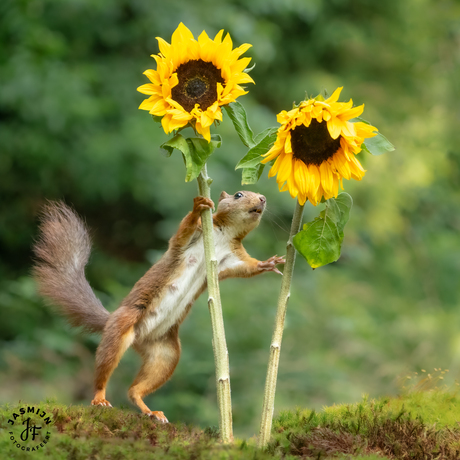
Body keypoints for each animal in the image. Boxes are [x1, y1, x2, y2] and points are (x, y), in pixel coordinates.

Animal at [33, 191, 284, 424]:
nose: (262, 198)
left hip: (165, 355)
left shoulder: (231, 259)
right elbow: (183, 230)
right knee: (104, 371)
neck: (224, 234)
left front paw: (269, 263)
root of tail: (138, 336)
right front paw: (198, 206)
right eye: (238, 194)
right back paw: (100, 398)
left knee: (135, 390)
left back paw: (151, 411)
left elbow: (248, 268)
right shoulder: (192, 237)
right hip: (121, 327)